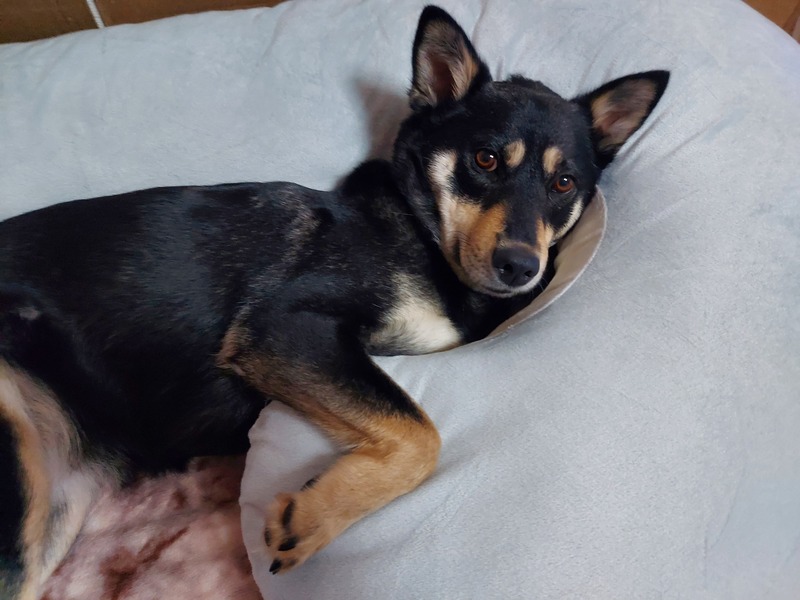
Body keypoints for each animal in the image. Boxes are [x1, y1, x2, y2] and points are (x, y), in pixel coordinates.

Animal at [0, 5, 668, 597]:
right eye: (484, 159)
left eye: (564, 183)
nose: (521, 268)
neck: (421, 233)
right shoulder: (285, 327)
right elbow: (420, 432)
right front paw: (315, 516)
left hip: (54, 507)